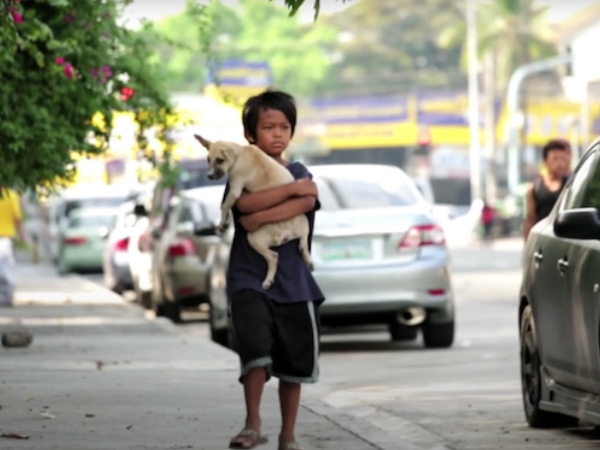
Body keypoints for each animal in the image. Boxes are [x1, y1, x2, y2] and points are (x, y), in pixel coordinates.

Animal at [195, 134, 314, 288]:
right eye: (208, 160)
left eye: (220, 160)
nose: (209, 176)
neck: (240, 152)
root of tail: (283, 235)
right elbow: (226, 208)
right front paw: (225, 223)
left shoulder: (235, 189)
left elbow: (224, 206)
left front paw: (221, 225)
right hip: (303, 223)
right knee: (303, 244)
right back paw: (307, 260)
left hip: (252, 238)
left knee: (273, 256)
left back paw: (268, 281)